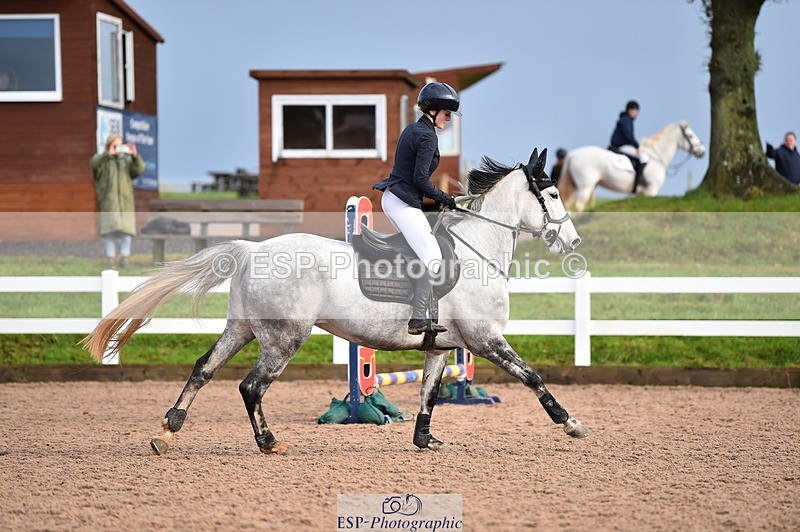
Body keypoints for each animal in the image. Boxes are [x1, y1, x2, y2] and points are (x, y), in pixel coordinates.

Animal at [82, 148, 591, 456]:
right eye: (551, 193)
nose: (572, 240)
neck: (476, 249)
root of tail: (251, 250)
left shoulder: (442, 347)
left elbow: (428, 393)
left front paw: (424, 440)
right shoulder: (486, 340)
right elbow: (533, 377)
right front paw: (570, 422)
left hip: (243, 328)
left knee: (204, 369)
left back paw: (168, 430)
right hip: (284, 338)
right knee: (251, 387)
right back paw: (269, 442)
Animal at [558, 121, 706, 212]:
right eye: (690, 135)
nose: (702, 152)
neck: (655, 157)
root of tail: (573, 154)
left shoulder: (642, 193)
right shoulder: (651, 191)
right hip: (585, 186)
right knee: (578, 206)